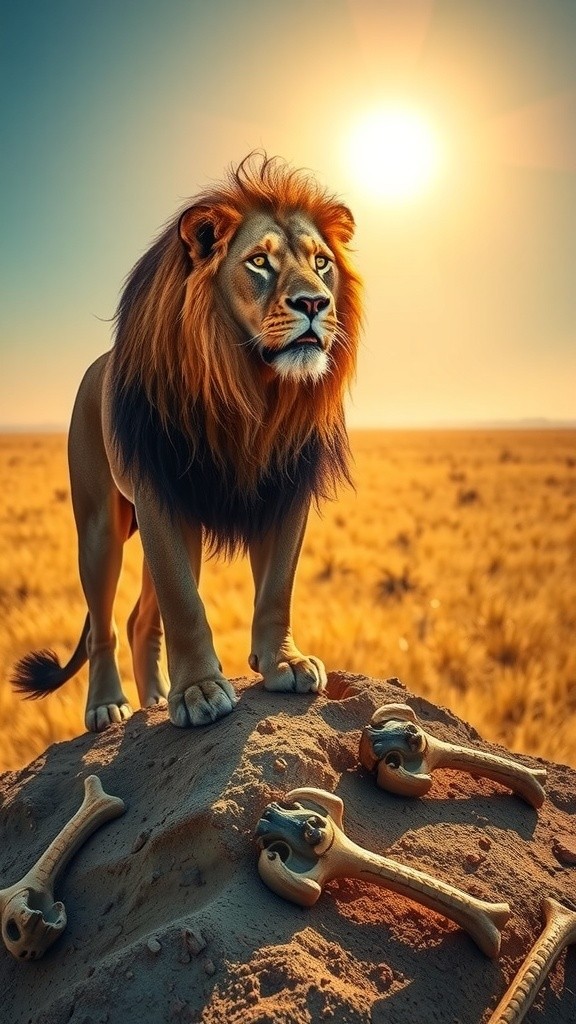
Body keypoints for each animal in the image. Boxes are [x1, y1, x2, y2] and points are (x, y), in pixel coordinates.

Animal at [12, 154, 362, 733]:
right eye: (259, 261)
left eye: (322, 262)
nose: (316, 302)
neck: (251, 387)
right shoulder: (161, 494)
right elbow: (184, 604)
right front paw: (198, 690)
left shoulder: (286, 490)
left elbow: (277, 589)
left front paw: (283, 662)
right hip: (101, 527)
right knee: (107, 623)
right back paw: (107, 705)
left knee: (139, 620)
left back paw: (154, 697)